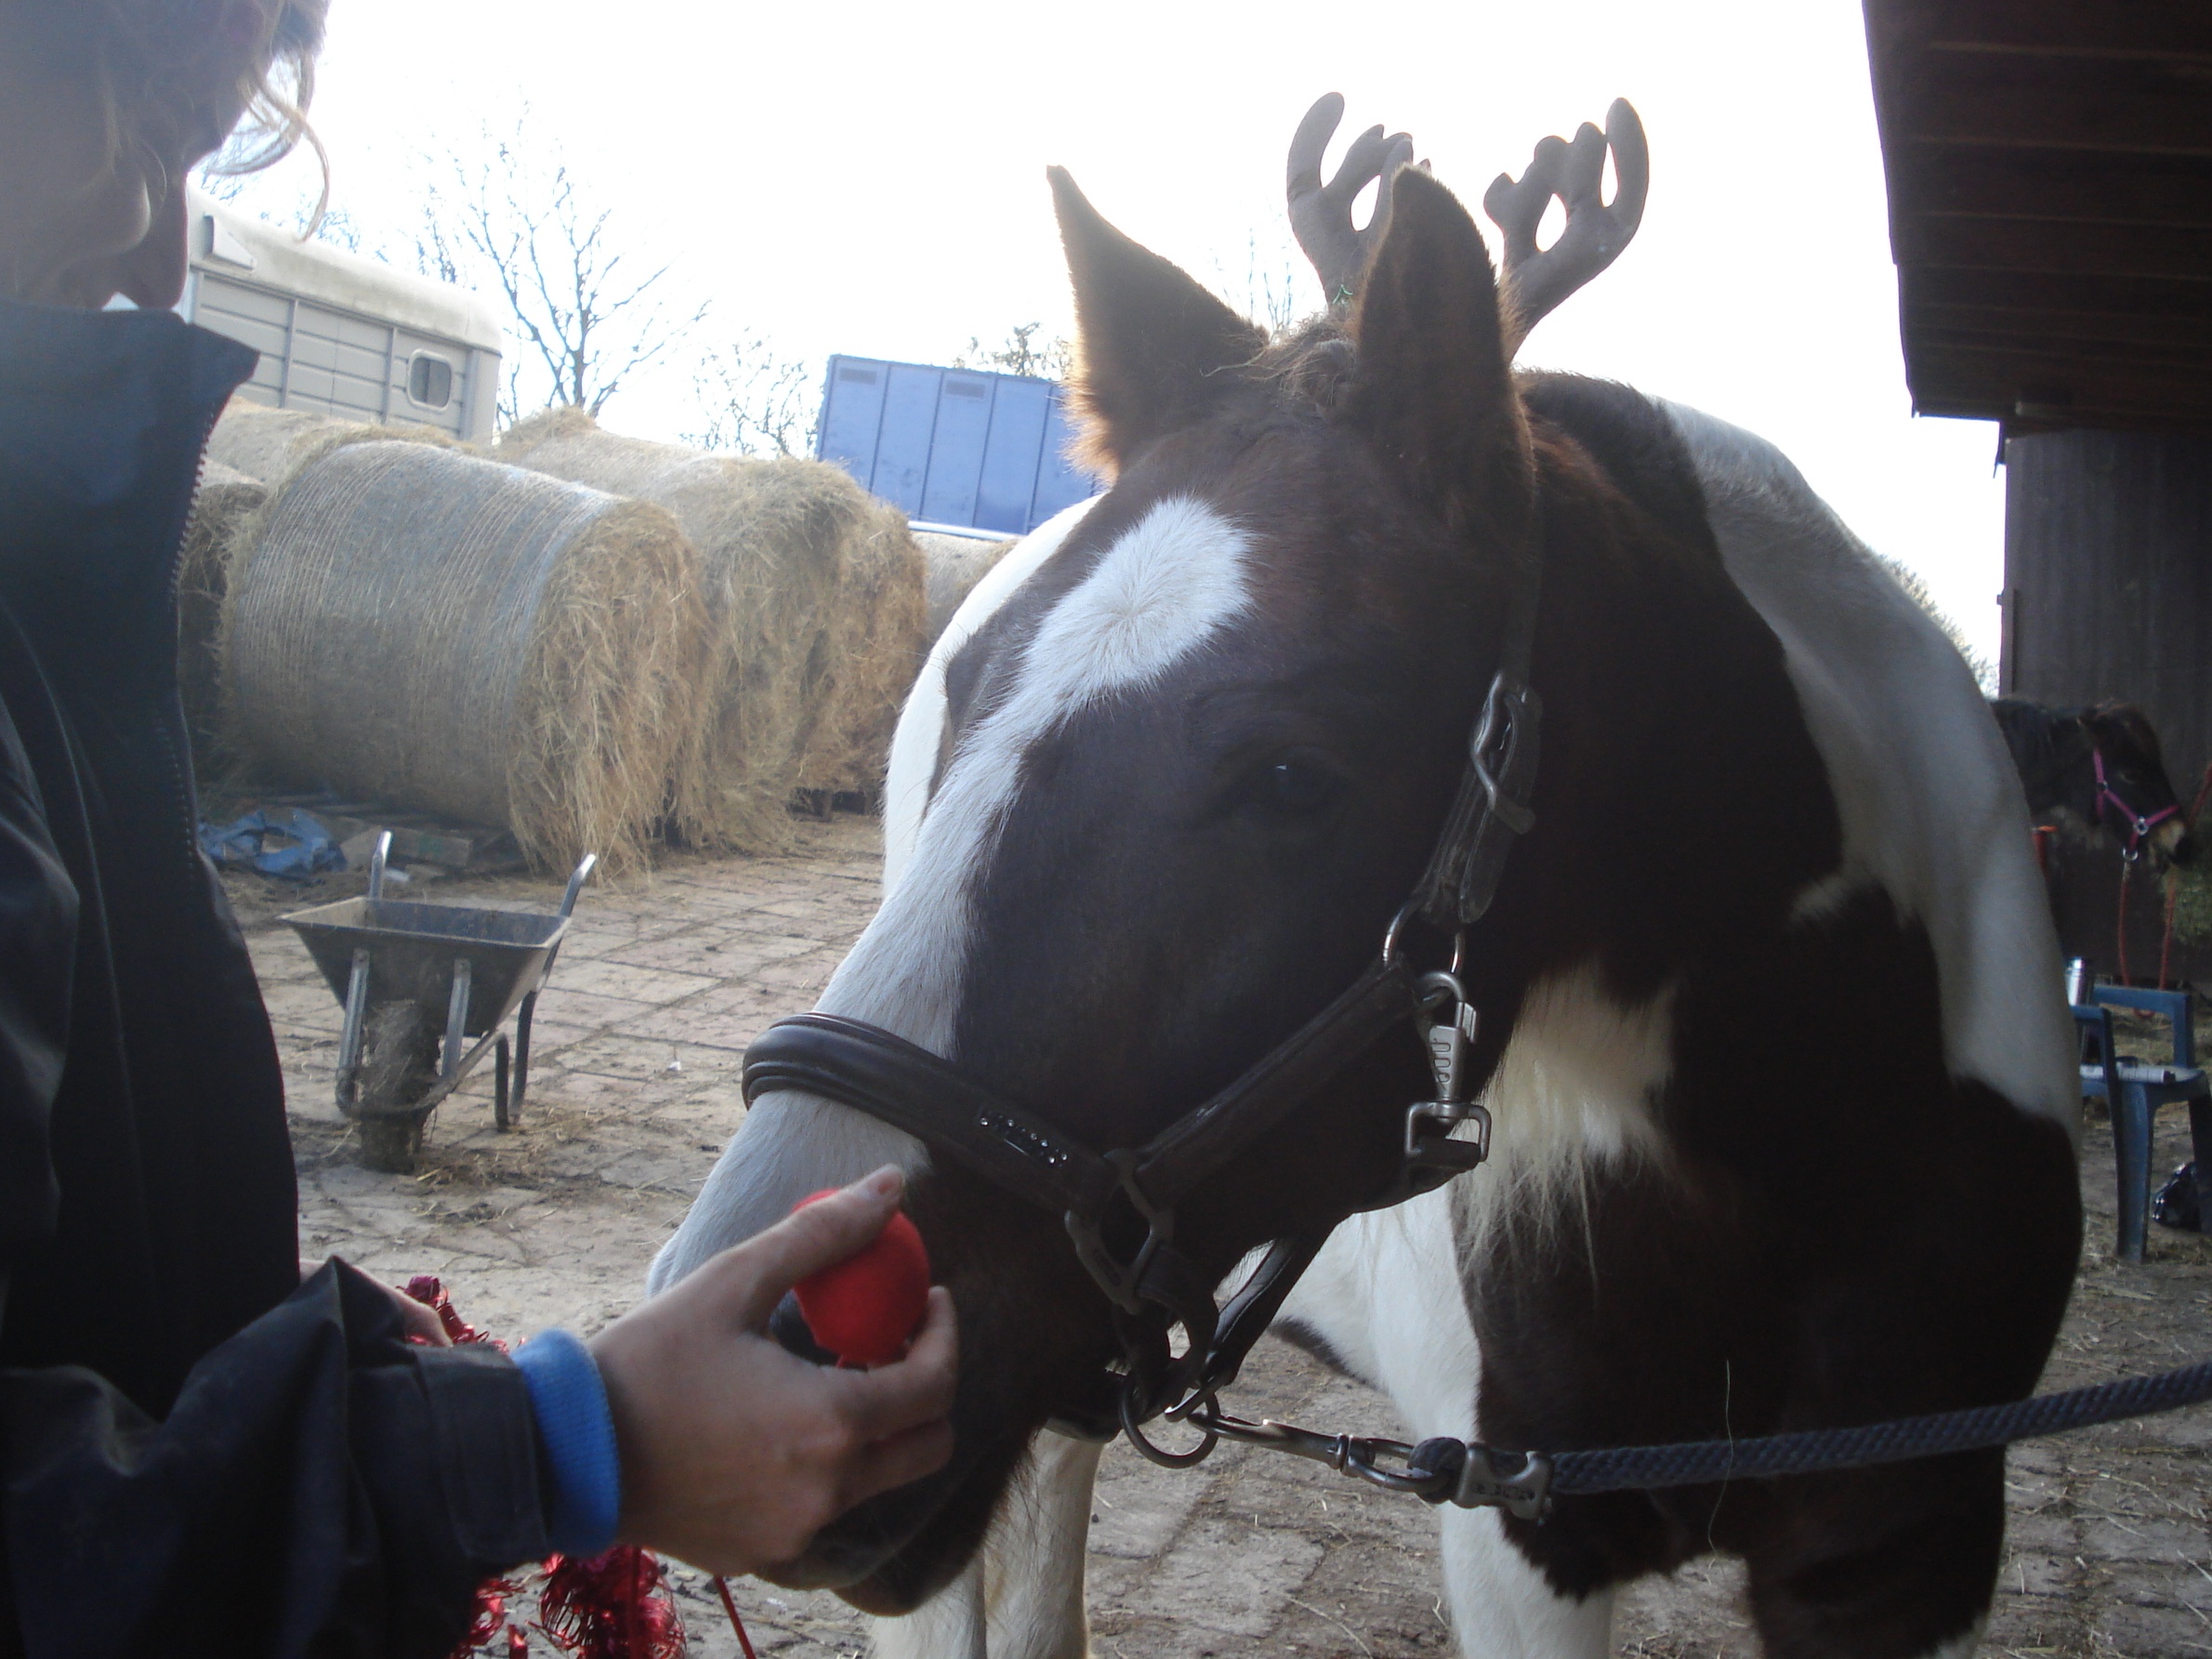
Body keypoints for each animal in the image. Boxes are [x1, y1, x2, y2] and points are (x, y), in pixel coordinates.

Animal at [654, 102, 2082, 1659]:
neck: (1807, 1162)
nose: (746, 1321)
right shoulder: (1522, 1536)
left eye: (1294, 774)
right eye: (969, 685)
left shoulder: (1893, 1559)